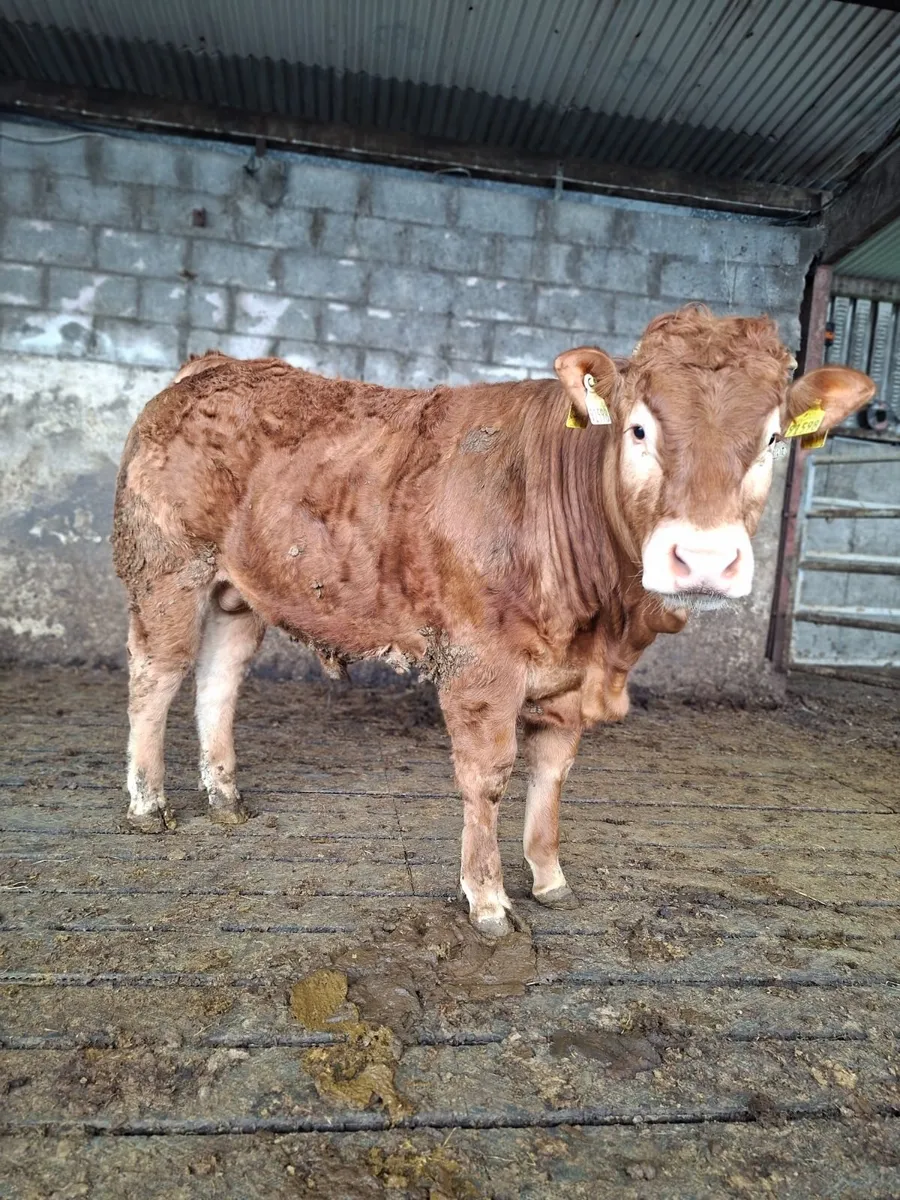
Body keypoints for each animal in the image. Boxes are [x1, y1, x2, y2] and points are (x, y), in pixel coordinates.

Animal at [112, 306, 874, 936]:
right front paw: (487, 899)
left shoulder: (565, 682)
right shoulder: (480, 668)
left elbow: (552, 775)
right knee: (158, 674)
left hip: (238, 591)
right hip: (167, 566)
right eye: (638, 428)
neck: (604, 629)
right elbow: (489, 776)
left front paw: (549, 877)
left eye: (773, 439)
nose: (705, 558)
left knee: (218, 680)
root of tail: (214, 365)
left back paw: (225, 797)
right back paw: (149, 805)